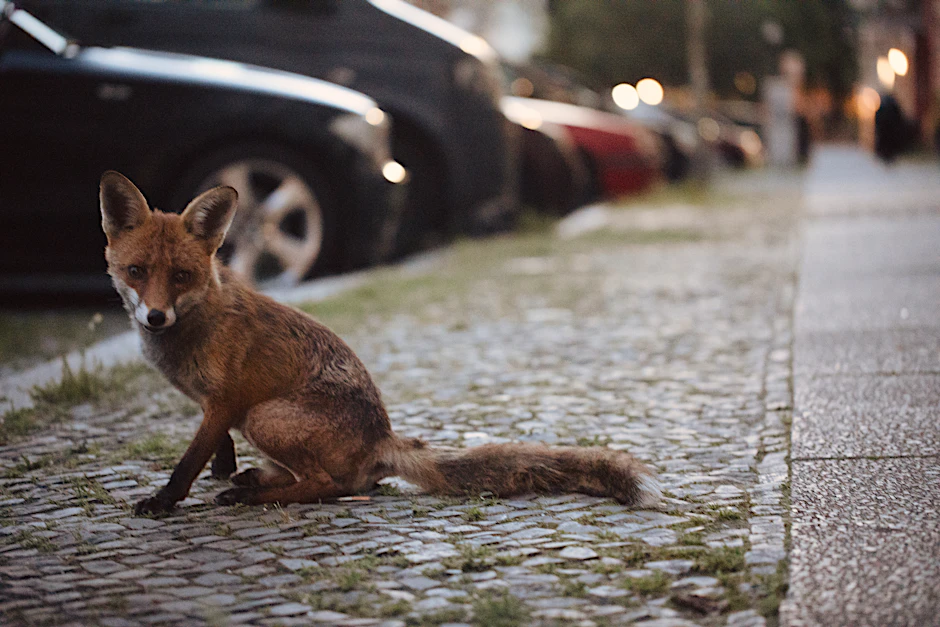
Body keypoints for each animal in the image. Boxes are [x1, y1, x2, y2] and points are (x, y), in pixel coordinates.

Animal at [99, 170, 660, 515]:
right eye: (137, 271)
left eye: (181, 276)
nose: (154, 316)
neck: (195, 323)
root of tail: (383, 436)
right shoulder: (215, 407)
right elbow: (215, 449)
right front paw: (223, 469)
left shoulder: (229, 400)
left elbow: (188, 461)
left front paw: (165, 501)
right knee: (340, 482)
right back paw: (255, 481)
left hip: (266, 416)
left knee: (331, 486)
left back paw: (254, 496)